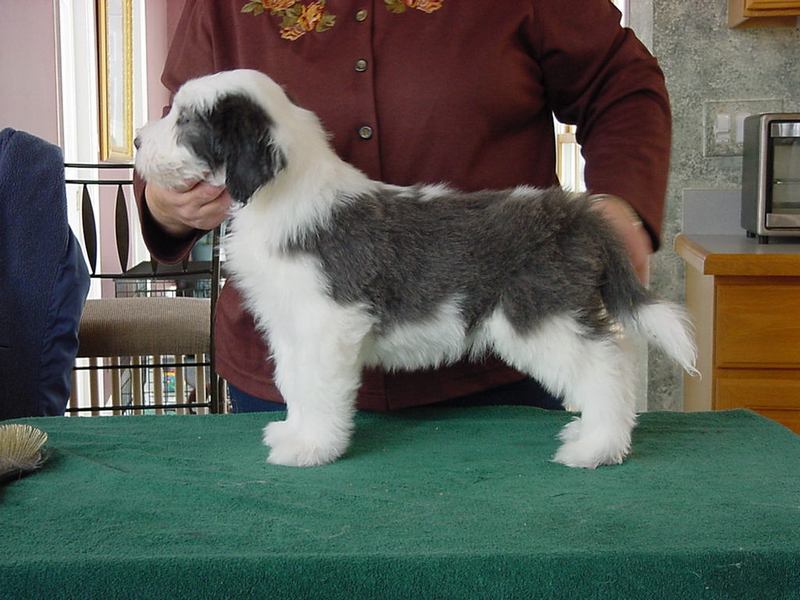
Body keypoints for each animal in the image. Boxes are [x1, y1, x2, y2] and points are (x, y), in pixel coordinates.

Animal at [135, 69, 697, 469]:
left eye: (185, 120)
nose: (138, 143)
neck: (284, 198)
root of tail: (575, 213)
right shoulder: (290, 326)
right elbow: (295, 382)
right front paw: (295, 432)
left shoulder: (326, 323)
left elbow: (318, 386)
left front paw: (314, 448)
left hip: (540, 314)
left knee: (605, 367)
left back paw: (596, 447)